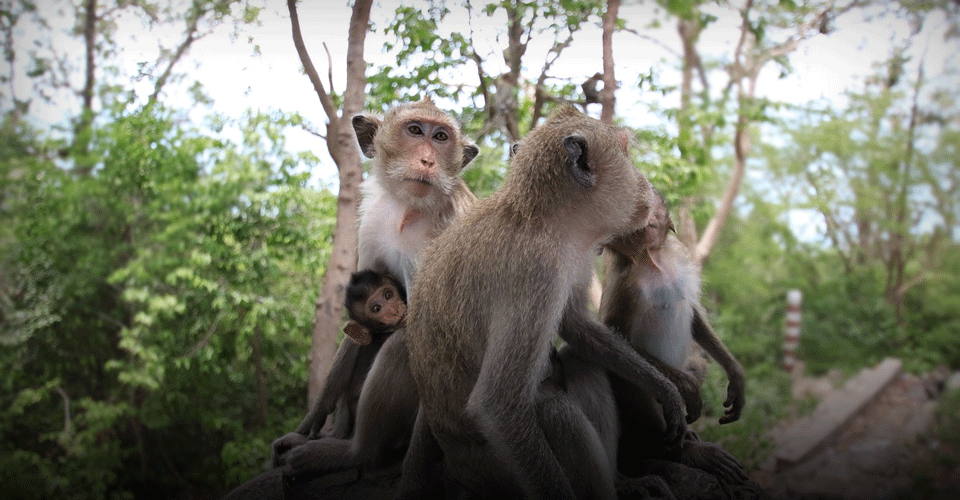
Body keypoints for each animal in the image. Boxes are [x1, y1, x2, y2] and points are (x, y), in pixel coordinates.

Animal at [396, 105, 684, 500]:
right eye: (626, 152)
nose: (645, 182)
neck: (539, 217)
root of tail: (457, 468)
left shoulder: (573, 256)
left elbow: (575, 325)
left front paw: (664, 389)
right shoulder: (535, 274)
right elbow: (499, 405)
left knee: (584, 362)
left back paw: (622, 483)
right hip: (497, 474)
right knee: (556, 415)